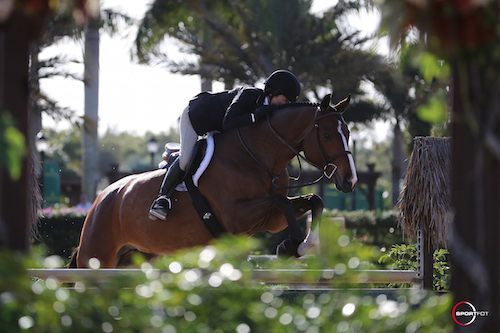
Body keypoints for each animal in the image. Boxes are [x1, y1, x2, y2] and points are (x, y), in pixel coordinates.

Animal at [70, 93, 358, 268]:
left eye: (348, 132)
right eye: (328, 135)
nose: (350, 180)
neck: (258, 156)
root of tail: (102, 197)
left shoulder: (270, 219)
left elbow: (313, 200)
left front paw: (304, 245)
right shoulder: (236, 216)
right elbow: (282, 201)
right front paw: (291, 245)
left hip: (138, 255)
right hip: (97, 256)